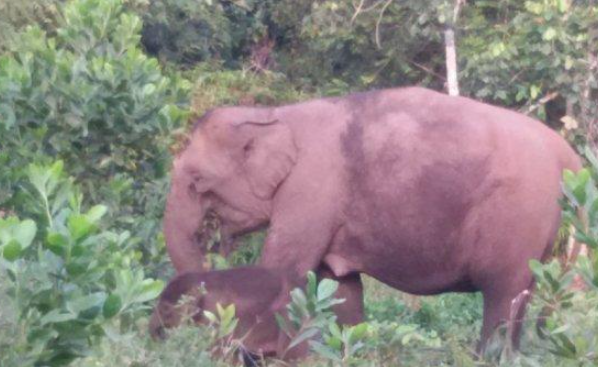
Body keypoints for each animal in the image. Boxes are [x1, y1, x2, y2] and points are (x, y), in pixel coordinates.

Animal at [163, 87, 580, 350]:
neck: (273, 115)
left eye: (197, 182)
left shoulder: (310, 190)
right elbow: (341, 288)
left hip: (519, 217)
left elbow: (282, 272)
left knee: (502, 296)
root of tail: (570, 156)